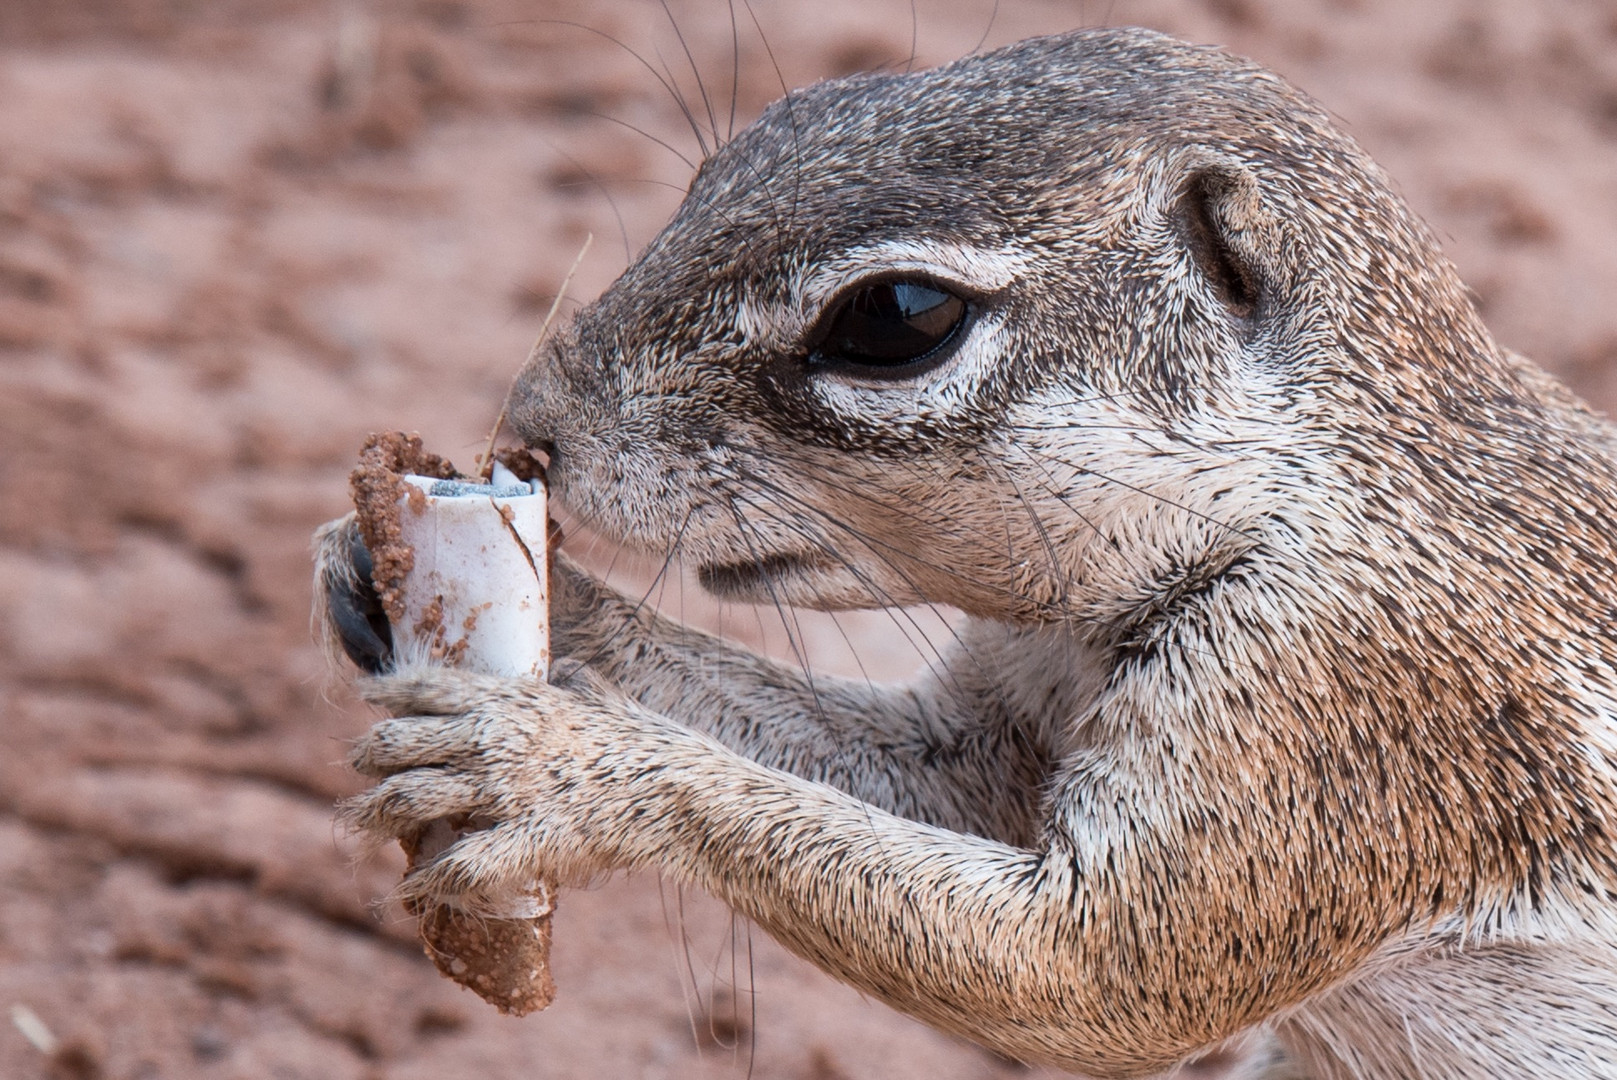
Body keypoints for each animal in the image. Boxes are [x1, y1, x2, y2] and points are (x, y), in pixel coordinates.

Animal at [321, 27, 1617, 1080]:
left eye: (898, 316)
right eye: (774, 130)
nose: (532, 427)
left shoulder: (1335, 695)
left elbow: (1088, 973)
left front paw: (551, 766)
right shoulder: (996, 722)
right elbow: (918, 771)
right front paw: (410, 572)